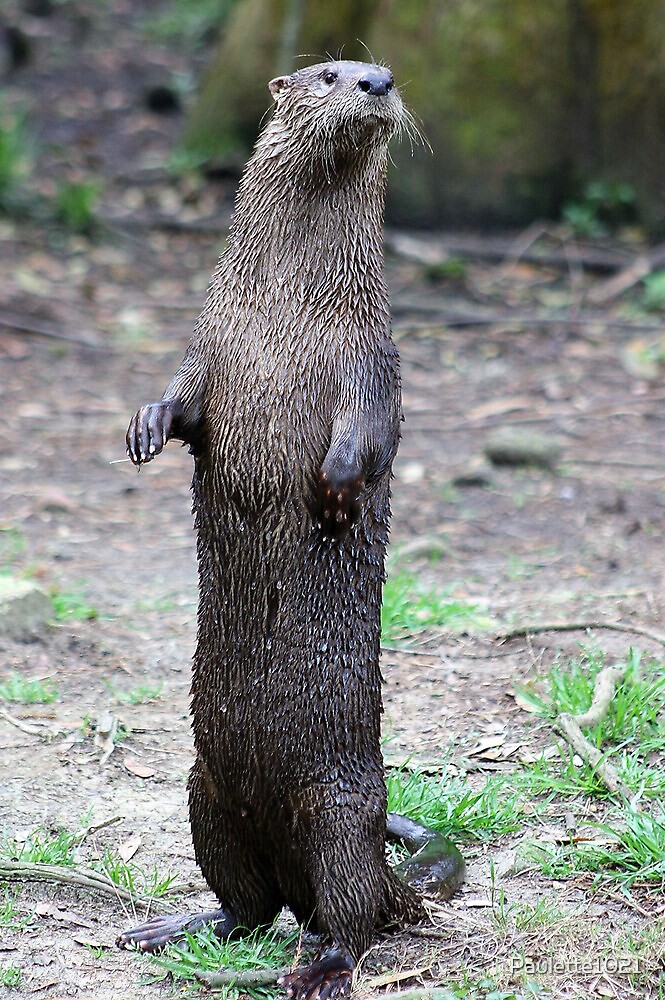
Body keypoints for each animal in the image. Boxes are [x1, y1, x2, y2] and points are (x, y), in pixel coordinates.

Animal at [118, 58, 462, 996]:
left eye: (380, 69)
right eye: (327, 73)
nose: (376, 80)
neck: (283, 313)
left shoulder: (369, 360)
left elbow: (367, 435)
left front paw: (337, 490)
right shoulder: (210, 344)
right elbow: (181, 398)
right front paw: (144, 428)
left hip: (338, 812)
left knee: (346, 915)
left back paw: (321, 967)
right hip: (202, 793)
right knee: (249, 904)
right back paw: (173, 926)